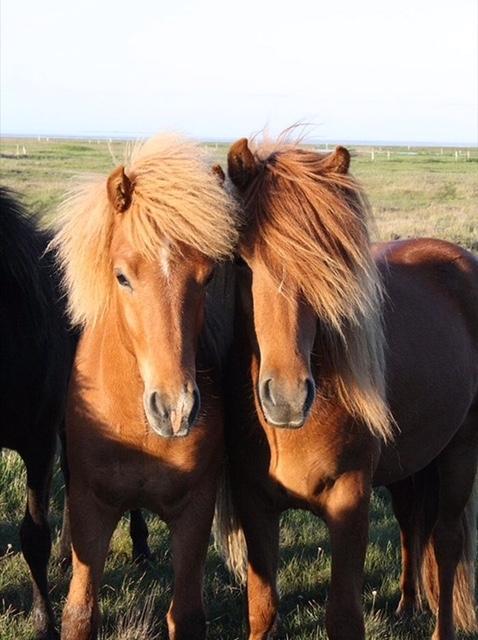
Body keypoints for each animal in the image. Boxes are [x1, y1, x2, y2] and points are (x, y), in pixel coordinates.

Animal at [51, 135, 238, 640]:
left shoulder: (194, 511)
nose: (175, 409)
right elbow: (79, 614)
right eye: (122, 277)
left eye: (207, 277)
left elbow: (186, 615)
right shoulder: (91, 507)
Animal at [214, 140, 478, 640]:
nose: (287, 399)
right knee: (411, 525)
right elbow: (263, 609)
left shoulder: (350, 502)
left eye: (327, 266)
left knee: (447, 541)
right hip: (410, 464)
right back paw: (406, 606)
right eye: (241, 262)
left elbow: (343, 616)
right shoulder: (255, 505)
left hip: (459, 452)